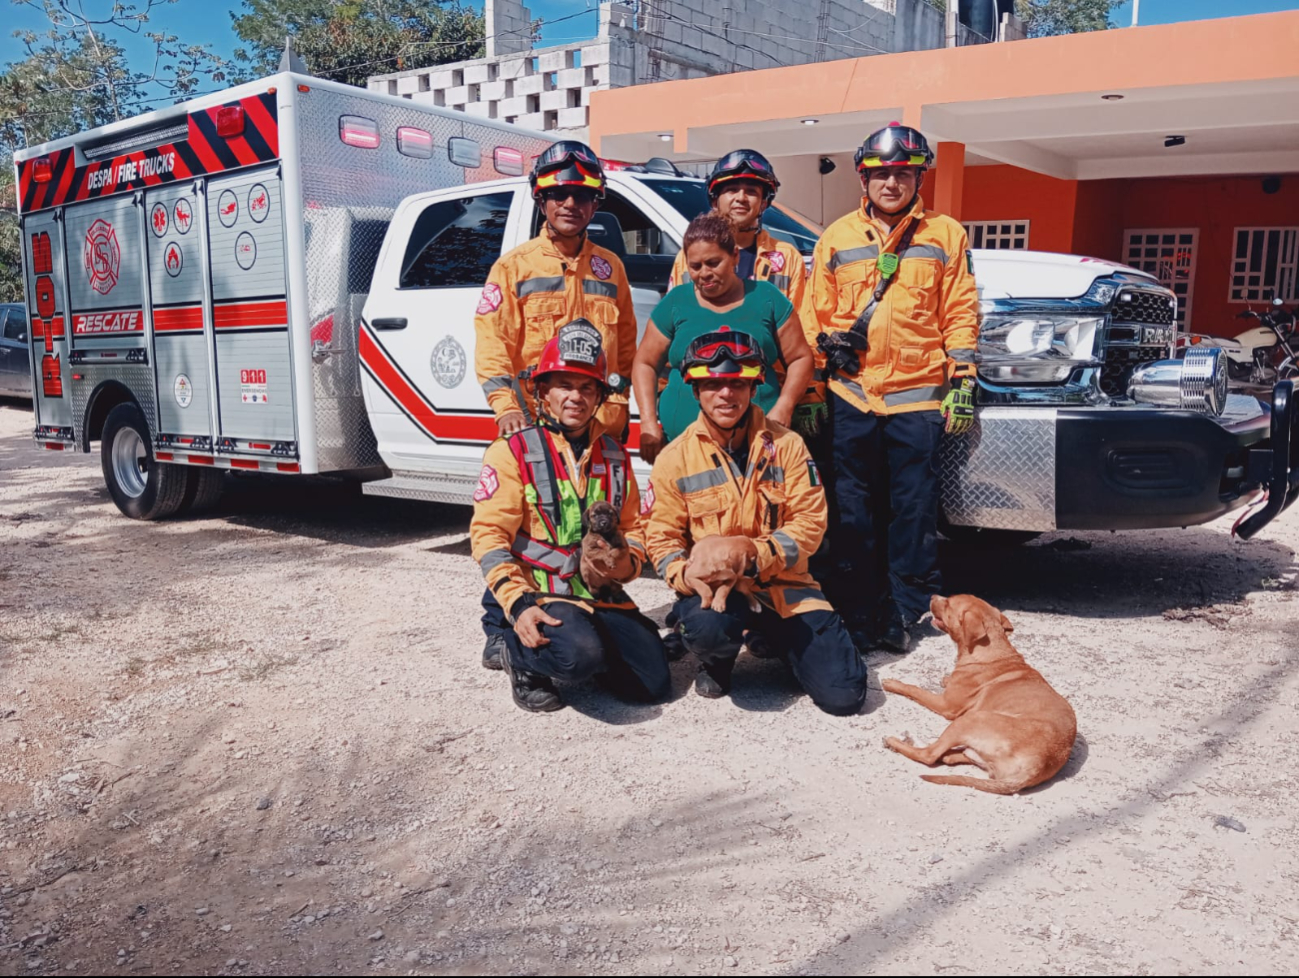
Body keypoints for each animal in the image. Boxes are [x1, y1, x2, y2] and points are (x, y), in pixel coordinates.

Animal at [883, 594, 1075, 794]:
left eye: (948, 603)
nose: (933, 596)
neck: (990, 651)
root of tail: (1035, 768)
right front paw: (946, 679)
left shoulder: (946, 706)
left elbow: (915, 689)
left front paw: (893, 684)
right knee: (957, 755)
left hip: (970, 719)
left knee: (930, 755)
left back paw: (895, 742)